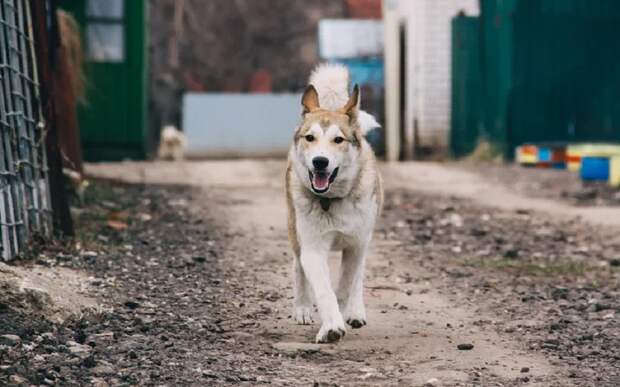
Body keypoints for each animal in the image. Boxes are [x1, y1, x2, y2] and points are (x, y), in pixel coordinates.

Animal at [286, 64, 382, 346]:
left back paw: (356, 312)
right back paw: (303, 308)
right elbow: (324, 289)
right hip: (295, 230)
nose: (320, 161)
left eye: (338, 140)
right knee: (298, 267)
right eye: (310, 137)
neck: (331, 201)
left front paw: (342, 316)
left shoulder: (355, 245)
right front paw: (330, 327)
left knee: (358, 277)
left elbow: (345, 285)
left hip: (365, 238)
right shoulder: (313, 249)